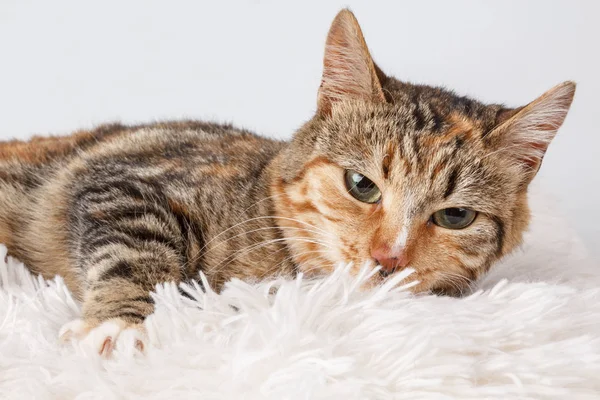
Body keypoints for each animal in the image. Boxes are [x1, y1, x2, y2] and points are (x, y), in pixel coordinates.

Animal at [0, 8, 576, 354]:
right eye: (361, 185)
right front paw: (122, 323)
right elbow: (136, 251)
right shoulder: (123, 180)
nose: (389, 259)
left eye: (455, 215)